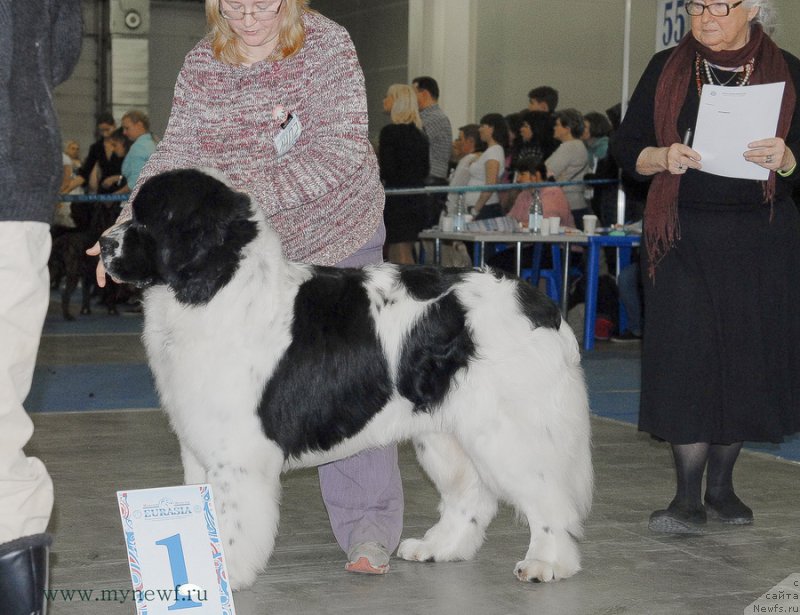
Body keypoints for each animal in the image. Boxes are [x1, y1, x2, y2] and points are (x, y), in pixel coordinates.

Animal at [100, 168, 592, 592]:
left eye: (147, 220)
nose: (103, 243)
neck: (216, 285)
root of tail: (539, 304)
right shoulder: (199, 444)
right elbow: (207, 515)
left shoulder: (238, 455)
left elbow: (232, 519)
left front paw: (227, 574)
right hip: (444, 430)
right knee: (471, 494)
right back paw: (437, 547)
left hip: (506, 431)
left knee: (548, 498)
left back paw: (546, 563)